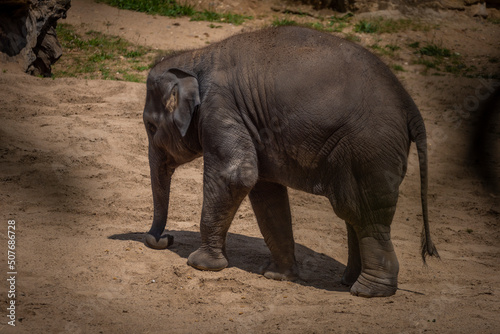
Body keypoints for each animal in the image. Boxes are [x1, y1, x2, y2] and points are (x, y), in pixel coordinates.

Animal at [141, 25, 438, 298]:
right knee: (354, 212)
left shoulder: (220, 108)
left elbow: (235, 175)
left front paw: (200, 264)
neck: (196, 56)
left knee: (364, 213)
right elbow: (265, 191)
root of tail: (411, 108)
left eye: (151, 127)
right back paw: (348, 281)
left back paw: (368, 291)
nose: (164, 238)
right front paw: (277, 276)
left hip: (369, 148)